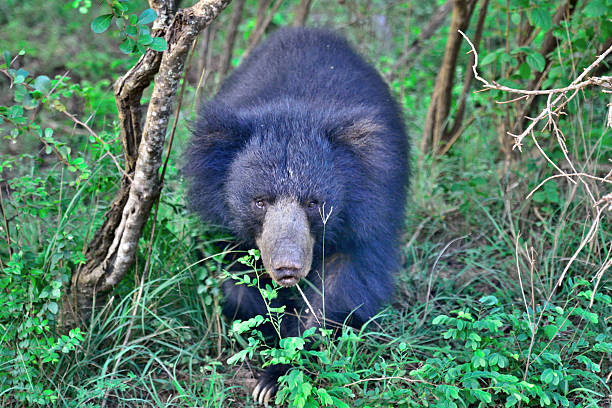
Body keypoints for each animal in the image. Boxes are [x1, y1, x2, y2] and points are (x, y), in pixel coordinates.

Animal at [184, 27, 408, 404]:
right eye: (260, 202)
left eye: (313, 203)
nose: (287, 267)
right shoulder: (227, 223)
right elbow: (238, 279)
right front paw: (263, 337)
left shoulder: (369, 210)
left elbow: (342, 290)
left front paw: (277, 375)